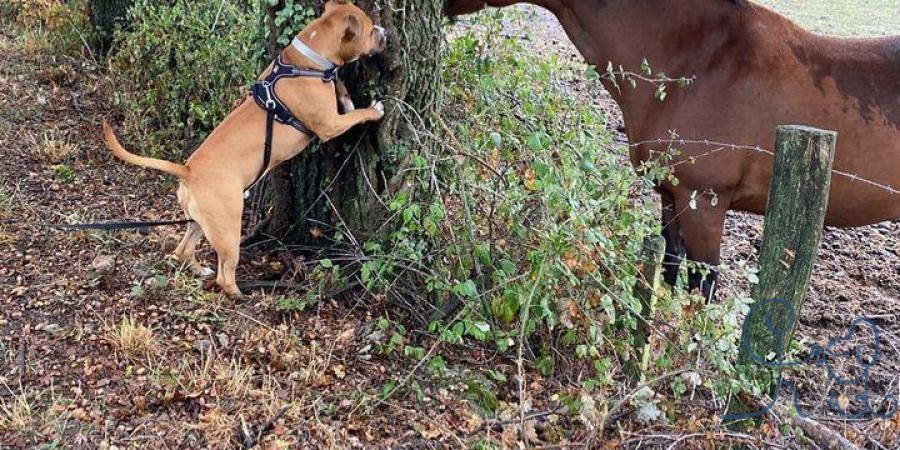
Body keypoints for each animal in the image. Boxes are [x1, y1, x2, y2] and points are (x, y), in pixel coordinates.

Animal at [103, 2, 384, 298]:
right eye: (370, 29)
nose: (385, 32)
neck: (308, 60)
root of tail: (187, 170)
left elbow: (346, 99)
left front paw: (342, 89)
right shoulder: (330, 125)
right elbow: (356, 115)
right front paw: (374, 110)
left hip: (199, 222)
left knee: (183, 250)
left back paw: (201, 270)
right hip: (228, 228)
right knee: (225, 274)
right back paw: (239, 293)